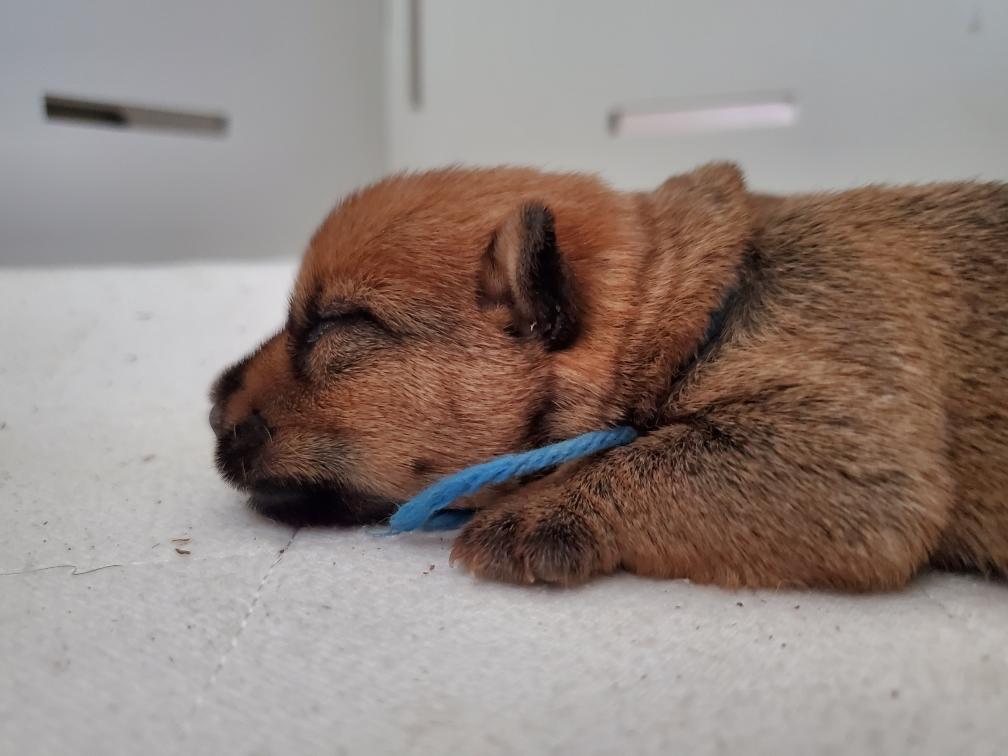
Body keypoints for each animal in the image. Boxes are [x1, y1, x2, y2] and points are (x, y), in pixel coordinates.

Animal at [209, 162, 1008, 590]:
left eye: (339, 324)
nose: (212, 412)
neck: (707, 305)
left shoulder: (851, 450)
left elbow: (651, 457)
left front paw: (539, 513)